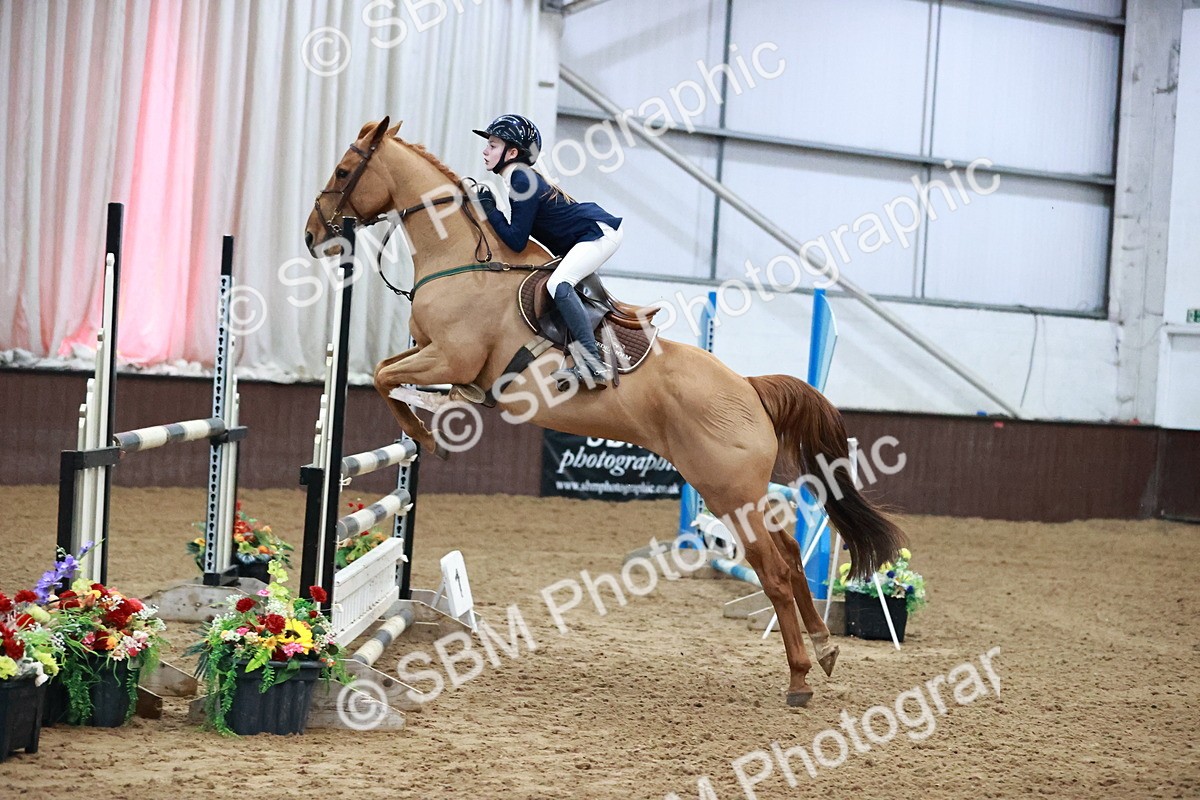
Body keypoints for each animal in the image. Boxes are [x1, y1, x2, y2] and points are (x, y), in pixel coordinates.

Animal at [304, 117, 906, 707]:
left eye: (343, 170)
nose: (313, 236)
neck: (462, 262)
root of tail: (749, 388)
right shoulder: (434, 355)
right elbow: (389, 372)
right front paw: (430, 421)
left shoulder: (451, 356)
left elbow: (385, 377)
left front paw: (426, 437)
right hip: (743, 491)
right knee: (790, 555)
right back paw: (825, 649)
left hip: (727, 489)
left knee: (775, 569)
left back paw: (800, 677)